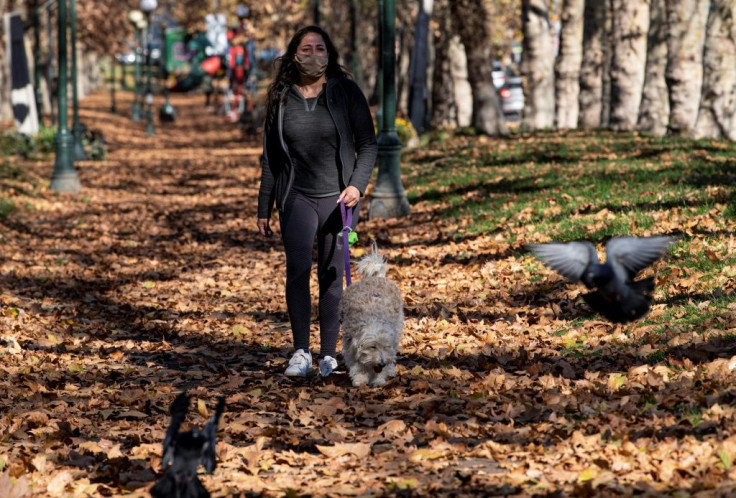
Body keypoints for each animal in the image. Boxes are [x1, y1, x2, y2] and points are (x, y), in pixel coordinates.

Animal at [340, 243, 402, 388]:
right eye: (373, 346)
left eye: (385, 346)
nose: (382, 363)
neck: (373, 317)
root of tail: (377, 277)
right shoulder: (350, 344)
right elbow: (357, 364)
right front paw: (360, 378)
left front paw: (378, 379)